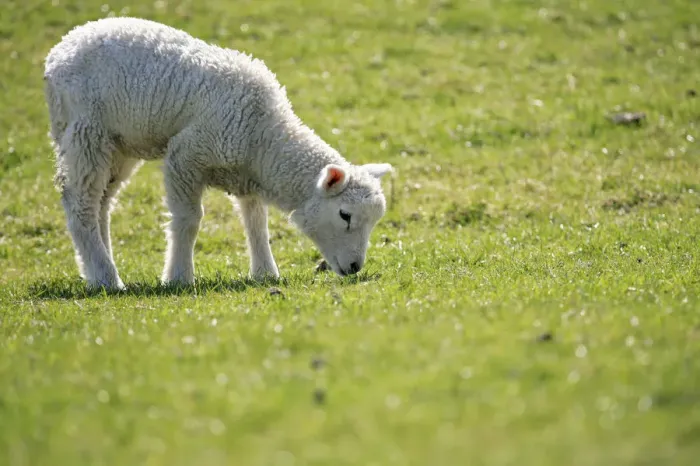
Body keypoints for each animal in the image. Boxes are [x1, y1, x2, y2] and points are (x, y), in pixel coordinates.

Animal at [44, 17, 393, 290]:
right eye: (345, 215)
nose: (355, 268)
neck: (263, 135)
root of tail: (62, 47)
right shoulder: (185, 155)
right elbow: (188, 220)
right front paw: (179, 278)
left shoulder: (246, 173)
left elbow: (256, 222)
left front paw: (265, 273)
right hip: (86, 132)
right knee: (81, 206)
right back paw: (107, 278)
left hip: (119, 144)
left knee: (103, 203)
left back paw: (95, 270)